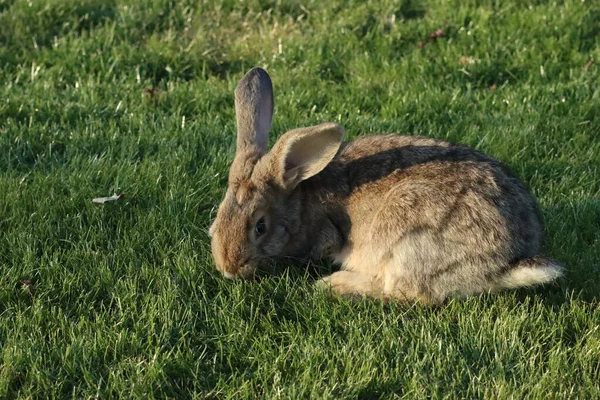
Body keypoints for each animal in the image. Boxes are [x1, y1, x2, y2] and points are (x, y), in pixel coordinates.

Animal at [210, 67, 564, 304]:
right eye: (217, 218)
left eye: (260, 227)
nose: (228, 268)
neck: (299, 197)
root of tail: (506, 261)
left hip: (406, 234)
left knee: (407, 293)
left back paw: (336, 284)